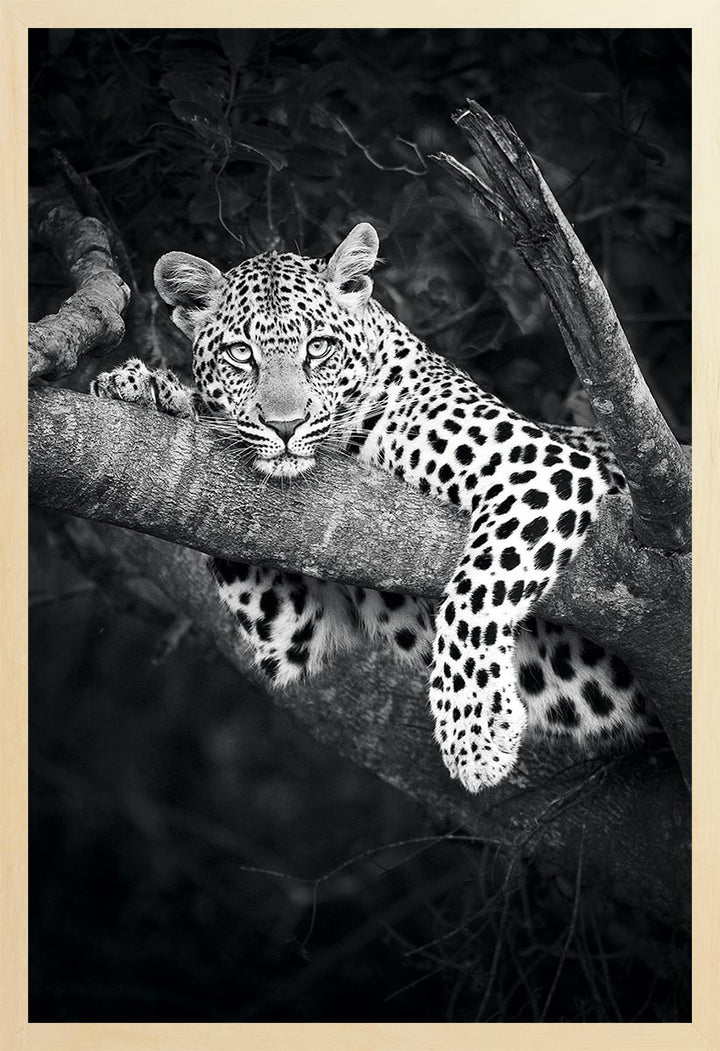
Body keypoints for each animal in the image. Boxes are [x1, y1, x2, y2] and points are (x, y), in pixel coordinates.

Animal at [91, 222, 653, 793]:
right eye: (241, 355)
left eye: (318, 349)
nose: (285, 426)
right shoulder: (293, 624)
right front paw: (146, 387)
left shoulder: (542, 467)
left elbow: (476, 592)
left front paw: (475, 731)